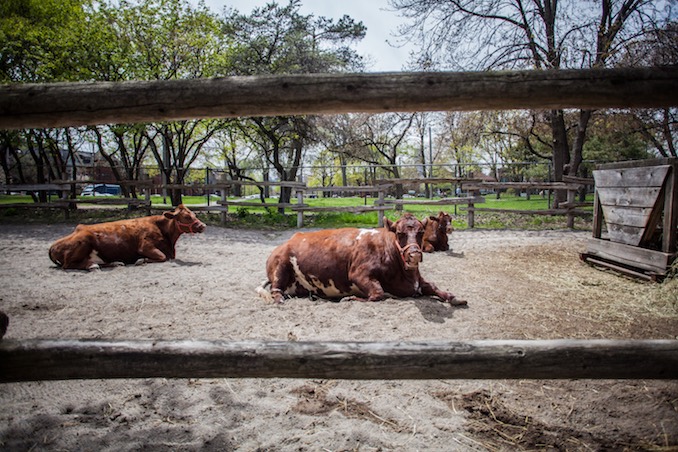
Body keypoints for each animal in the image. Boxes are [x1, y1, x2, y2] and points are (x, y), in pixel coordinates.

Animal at [49, 206, 206, 272]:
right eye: (186, 217)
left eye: (193, 214)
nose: (203, 225)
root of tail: (53, 245)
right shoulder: (145, 246)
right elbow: (162, 257)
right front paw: (141, 260)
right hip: (83, 242)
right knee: (68, 265)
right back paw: (92, 266)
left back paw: (115, 263)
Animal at [258, 213, 468, 306]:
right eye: (399, 233)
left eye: (421, 232)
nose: (414, 254)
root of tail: (287, 241)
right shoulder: (358, 274)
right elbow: (378, 293)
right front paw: (351, 297)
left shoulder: (419, 280)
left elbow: (433, 286)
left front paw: (454, 297)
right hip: (281, 266)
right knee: (276, 290)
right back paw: (280, 299)